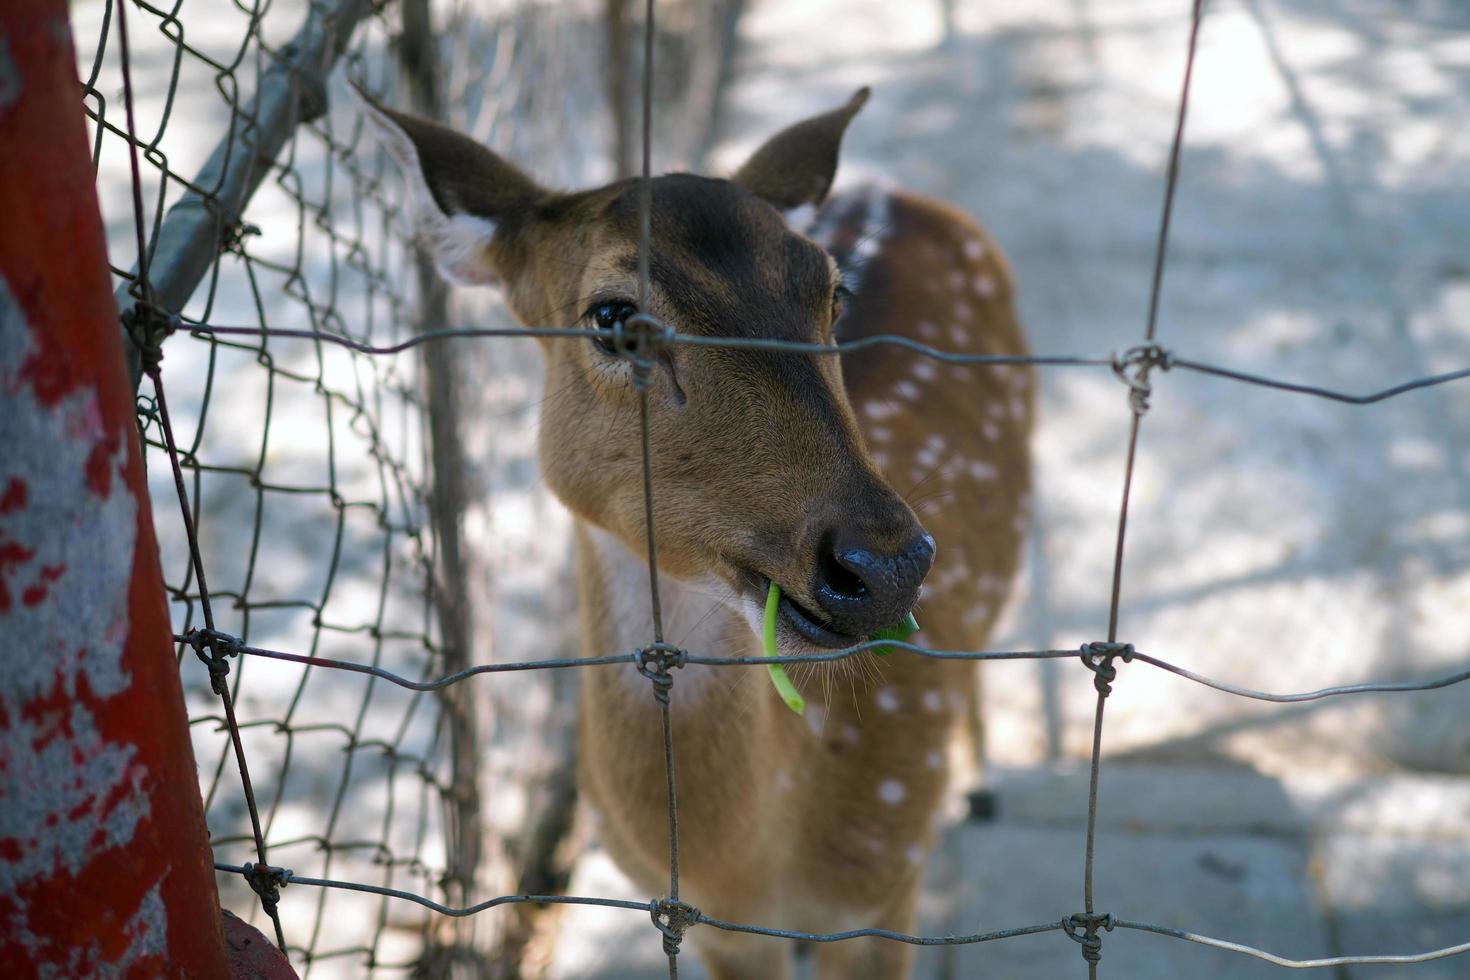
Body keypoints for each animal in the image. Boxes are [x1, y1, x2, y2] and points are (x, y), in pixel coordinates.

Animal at [355, 80, 1034, 975]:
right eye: (613, 317)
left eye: (833, 294)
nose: (887, 566)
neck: (747, 866)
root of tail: (901, 189)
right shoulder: (717, 932)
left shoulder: (887, 891)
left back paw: (983, 783)